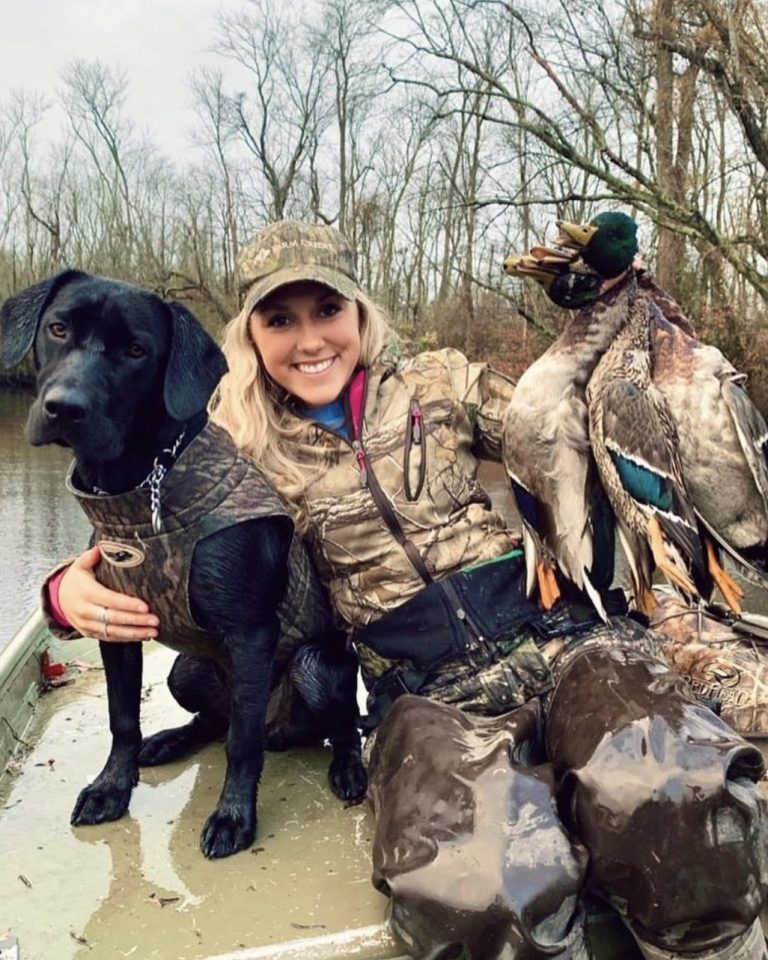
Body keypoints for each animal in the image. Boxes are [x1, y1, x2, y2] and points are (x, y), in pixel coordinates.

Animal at [0, 272, 366, 864]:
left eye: (136, 351)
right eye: (57, 329)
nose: (64, 408)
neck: (142, 490)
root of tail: (282, 730)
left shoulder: (250, 634)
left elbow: (242, 744)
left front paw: (233, 818)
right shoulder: (117, 629)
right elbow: (122, 718)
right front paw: (111, 788)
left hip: (315, 667)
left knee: (325, 727)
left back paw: (349, 769)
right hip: (185, 671)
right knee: (213, 721)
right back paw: (169, 740)